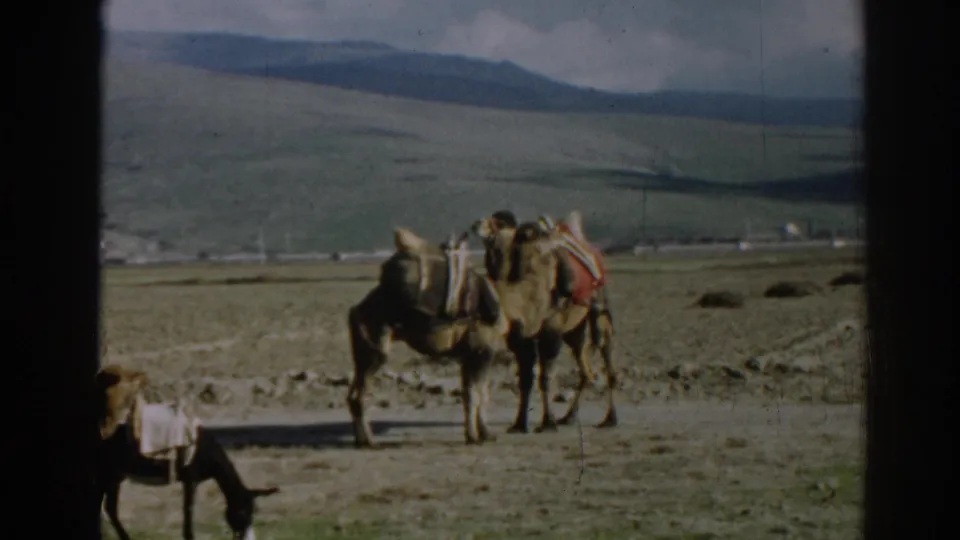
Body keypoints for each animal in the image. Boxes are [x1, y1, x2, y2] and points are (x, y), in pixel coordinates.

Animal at [95, 364, 279, 540]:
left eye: (254, 512)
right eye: (241, 512)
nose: (248, 537)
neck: (206, 450)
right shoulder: (191, 479)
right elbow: (188, 516)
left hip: (115, 474)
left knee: (109, 508)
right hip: (107, 472)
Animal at [471, 210, 618, 434]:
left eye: (498, 223)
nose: (476, 223)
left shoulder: (551, 328)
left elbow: (545, 377)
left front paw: (547, 422)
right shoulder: (521, 336)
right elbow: (525, 378)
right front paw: (518, 423)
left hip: (598, 309)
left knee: (605, 352)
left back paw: (610, 419)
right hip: (574, 329)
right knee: (584, 365)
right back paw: (568, 417)